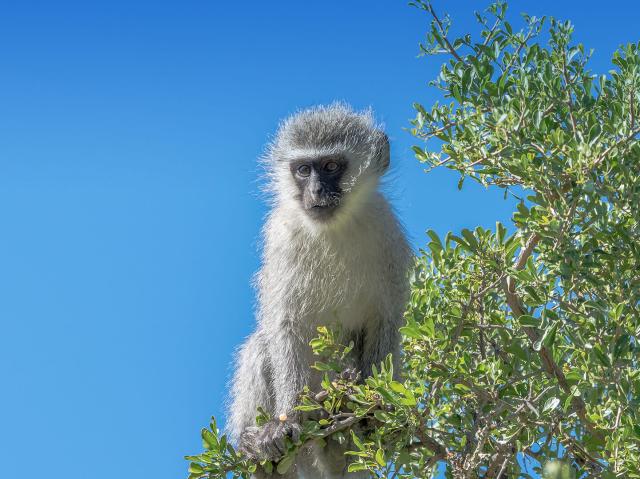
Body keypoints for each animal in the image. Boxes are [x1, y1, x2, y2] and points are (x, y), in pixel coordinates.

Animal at [226, 103, 413, 478]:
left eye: (330, 166)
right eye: (303, 169)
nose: (314, 192)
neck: (333, 230)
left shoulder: (386, 234)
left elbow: (386, 321)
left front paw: (376, 409)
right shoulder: (281, 237)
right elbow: (285, 325)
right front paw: (287, 422)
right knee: (261, 345)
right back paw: (256, 445)